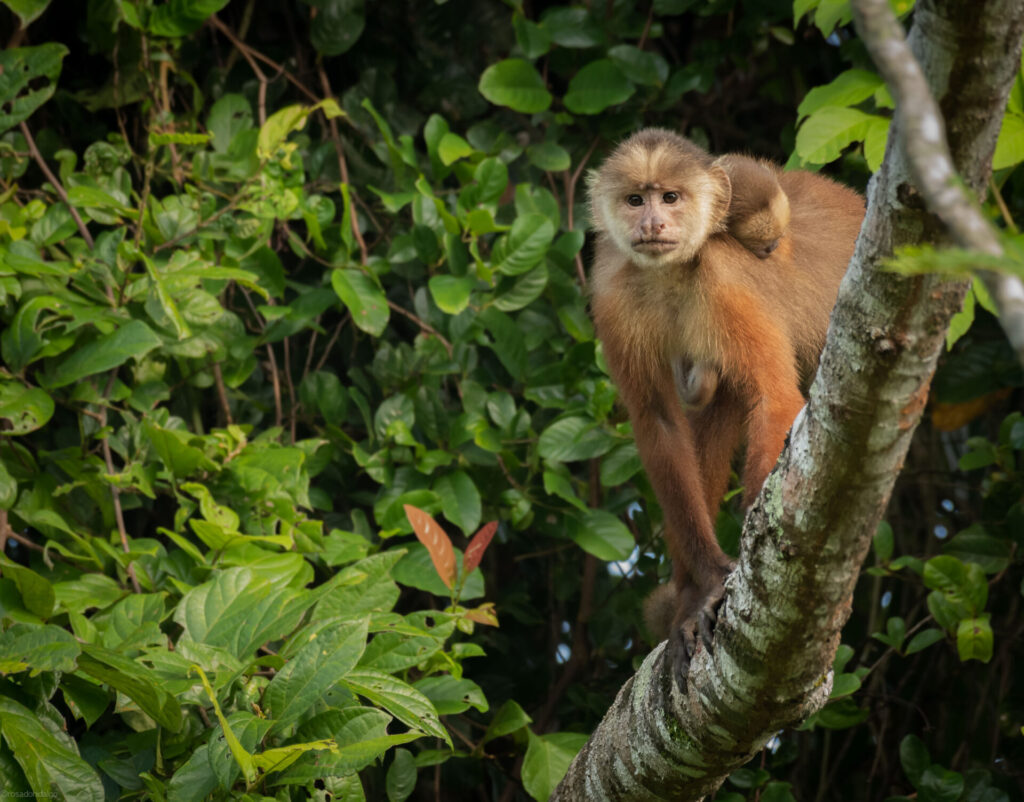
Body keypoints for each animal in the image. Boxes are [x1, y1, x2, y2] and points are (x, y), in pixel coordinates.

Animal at [587, 128, 864, 675]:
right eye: (636, 200)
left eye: (671, 197)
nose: (653, 223)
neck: (671, 273)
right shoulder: (611, 293)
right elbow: (659, 426)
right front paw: (708, 581)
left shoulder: (724, 279)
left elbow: (774, 397)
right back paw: (688, 598)